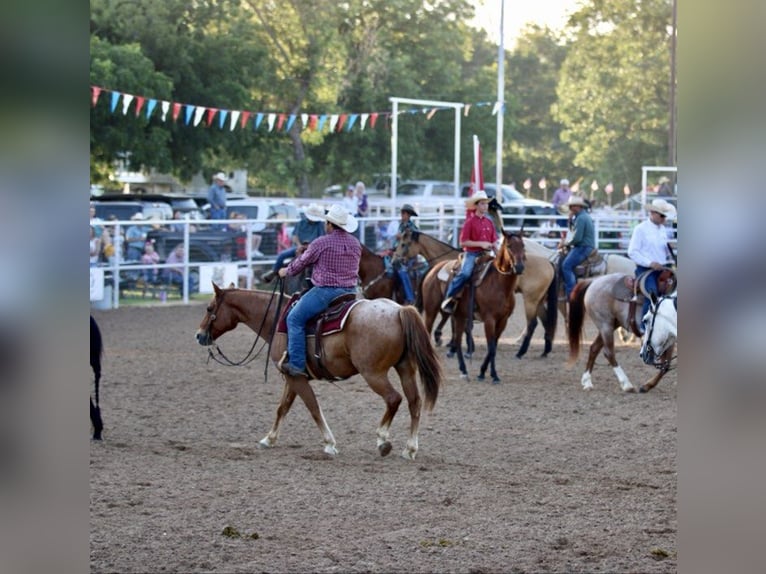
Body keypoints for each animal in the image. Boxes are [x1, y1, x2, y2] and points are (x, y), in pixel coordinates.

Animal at [195, 286, 440, 462]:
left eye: (209, 308)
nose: (199, 335)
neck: (278, 319)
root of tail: (399, 310)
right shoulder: (293, 376)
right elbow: (282, 407)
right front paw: (269, 439)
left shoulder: (295, 377)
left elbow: (312, 407)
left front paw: (330, 444)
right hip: (405, 368)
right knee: (414, 402)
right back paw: (410, 449)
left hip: (374, 373)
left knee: (393, 399)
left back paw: (382, 441)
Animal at [396, 230, 560, 360]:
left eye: (403, 244)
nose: (395, 259)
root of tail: (549, 262)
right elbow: (455, 320)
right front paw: (455, 344)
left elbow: (453, 320)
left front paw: (450, 341)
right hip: (538, 300)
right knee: (545, 321)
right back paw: (545, 350)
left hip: (530, 300)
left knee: (532, 323)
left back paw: (521, 352)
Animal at [420, 232, 528, 384]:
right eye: (509, 246)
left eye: (523, 245)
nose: (519, 267)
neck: (499, 285)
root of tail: (433, 269)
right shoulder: (489, 320)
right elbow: (491, 348)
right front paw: (493, 375)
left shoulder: (503, 321)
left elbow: (493, 346)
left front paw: (483, 372)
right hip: (431, 310)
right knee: (428, 330)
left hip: (459, 315)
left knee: (457, 340)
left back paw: (463, 370)